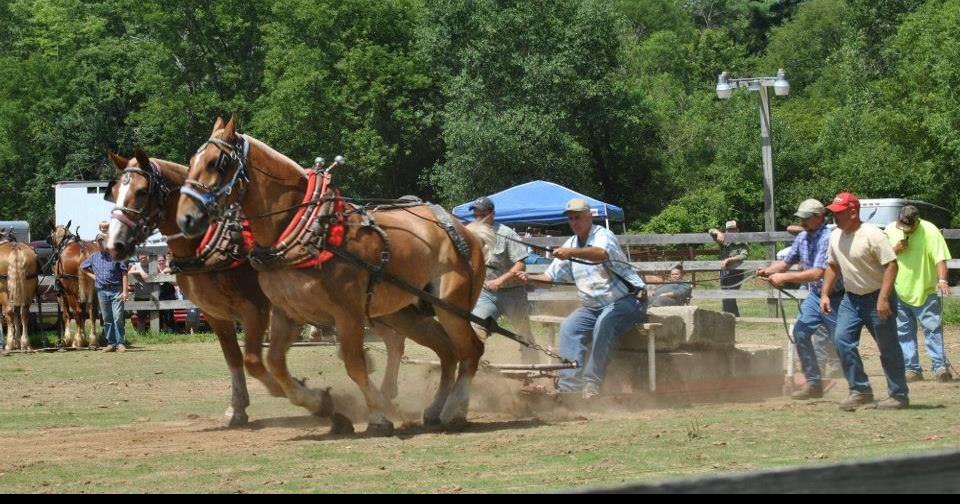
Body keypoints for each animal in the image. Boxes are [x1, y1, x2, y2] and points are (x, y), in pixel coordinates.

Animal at [103, 149, 336, 426]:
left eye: (141, 191)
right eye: (114, 191)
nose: (114, 245)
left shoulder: (255, 309)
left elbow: (253, 361)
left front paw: (302, 393)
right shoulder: (215, 314)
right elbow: (233, 357)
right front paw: (237, 408)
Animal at [176, 117, 496, 434]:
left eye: (218, 163)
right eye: (191, 161)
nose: (186, 219)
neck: (308, 230)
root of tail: (468, 231)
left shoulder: (347, 314)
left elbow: (354, 364)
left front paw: (378, 415)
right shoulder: (284, 312)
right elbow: (273, 362)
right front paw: (321, 403)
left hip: (451, 306)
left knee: (471, 351)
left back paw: (455, 411)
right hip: (408, 312)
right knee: (447, 351)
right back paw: (434, 408)